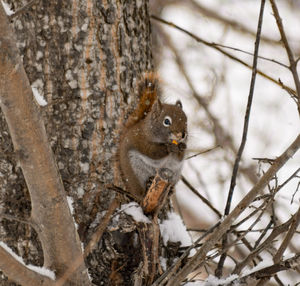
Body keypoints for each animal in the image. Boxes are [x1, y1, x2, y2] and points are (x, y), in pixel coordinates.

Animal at [118, 73, 186, 203]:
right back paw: (146, 187)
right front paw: (168, 148)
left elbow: (179, 158)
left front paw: (182, 146)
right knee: (140, 192)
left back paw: (170, 190)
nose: (182, 135)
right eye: (166, 121)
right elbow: (153, 152)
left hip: (175, 173)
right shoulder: (142, 141)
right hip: (136, 171)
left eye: (186, 120)